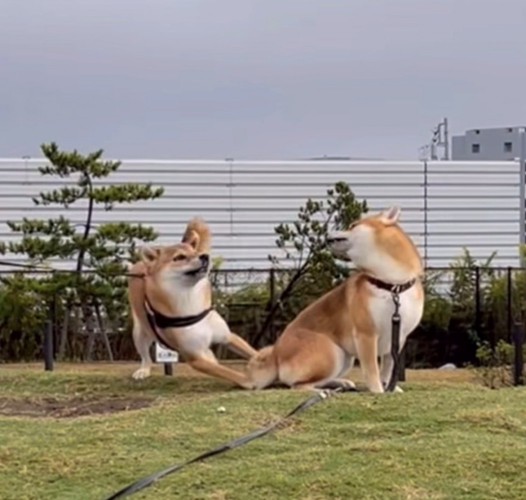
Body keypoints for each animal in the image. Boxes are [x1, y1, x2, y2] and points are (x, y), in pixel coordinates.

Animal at [128, 218, 260, 386]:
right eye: (179, 258)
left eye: (196, 252)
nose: (204, 256)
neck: (191, 301)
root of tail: (140, 265)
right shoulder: (195, 358)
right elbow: (229, 373)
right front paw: (250, 380)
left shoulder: (229, 337)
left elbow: (255, 354)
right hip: (139, 332)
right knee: (145, 356)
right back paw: (143, 370)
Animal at [250, 205, 426, 392]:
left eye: (353, 225)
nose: (327, 236)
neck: (391, 285)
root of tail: (276, 354)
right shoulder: (366, 334)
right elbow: (372, 369)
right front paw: (378, 391)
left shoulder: (398, 338)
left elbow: (388, 369)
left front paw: (389, 389)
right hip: (332, 352)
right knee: (298, 385)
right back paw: (322, 390)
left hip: (345, 358)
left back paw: (341, 383)